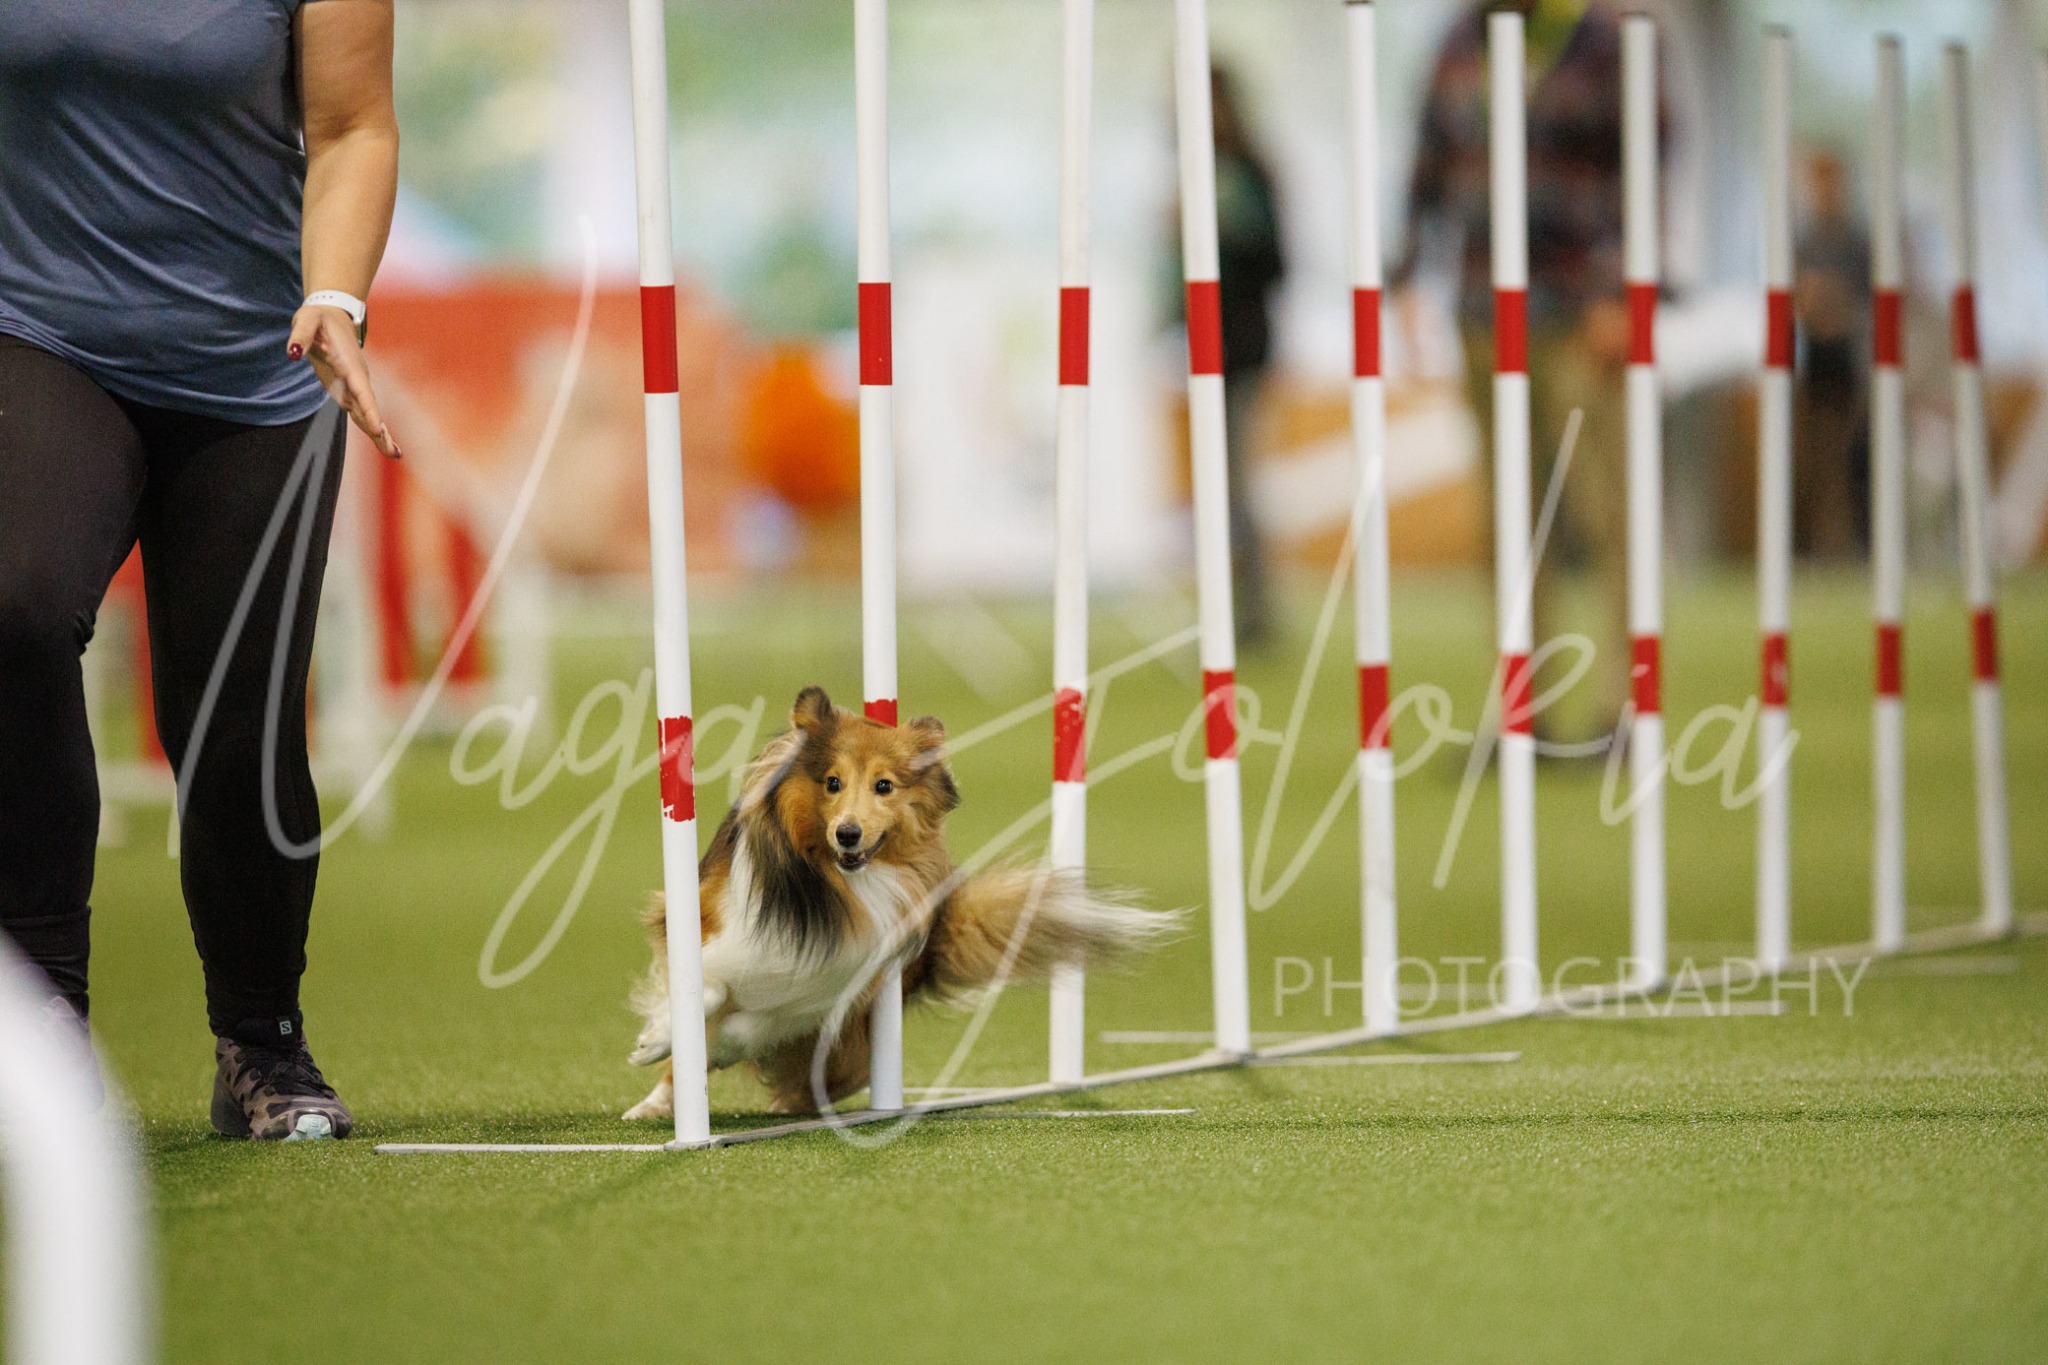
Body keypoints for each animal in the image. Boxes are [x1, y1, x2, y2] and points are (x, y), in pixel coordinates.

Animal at [623, 685, 1175, 1118]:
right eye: (832, 783)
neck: (837, 886)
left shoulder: (828, 988)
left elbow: (747, 1025)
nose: (847, 834)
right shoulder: (705, 922)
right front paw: (656, 1038)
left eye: (884, 786)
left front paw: (707, 1040)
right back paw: (655, 1103)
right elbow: (706, 989)